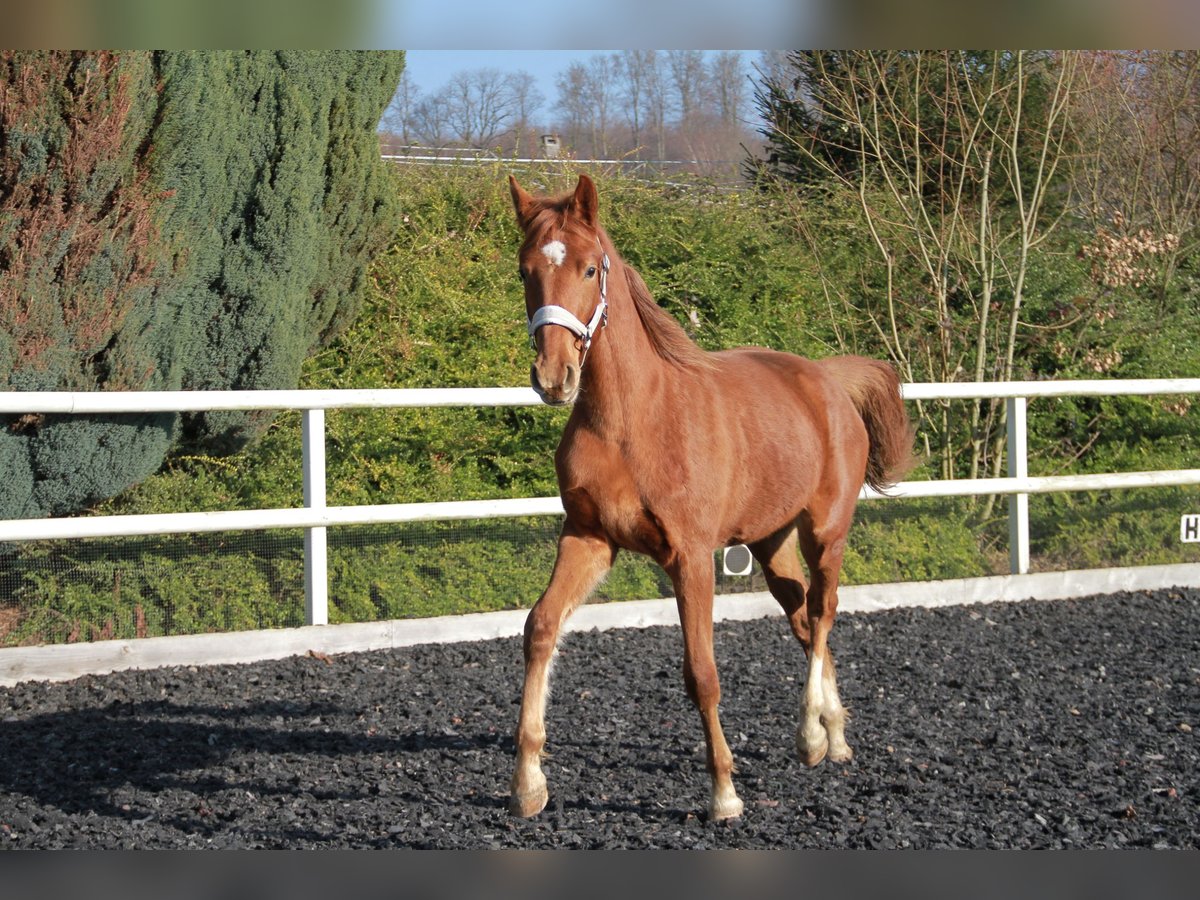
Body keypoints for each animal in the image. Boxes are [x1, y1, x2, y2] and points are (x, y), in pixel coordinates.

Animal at [504, 172, 907, 820]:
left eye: (590, 268)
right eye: (525, 271)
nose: (554, 376)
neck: (631, 422)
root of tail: (828, 380)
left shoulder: (690, 556)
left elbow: (702, 672)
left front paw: (724, 792)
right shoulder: (588, 539)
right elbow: (540, 627)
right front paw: (528, 784)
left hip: (827, 530)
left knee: (823, 613)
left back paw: (811, 734)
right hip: (771, 542)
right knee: (802, 617)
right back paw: (835, 736)